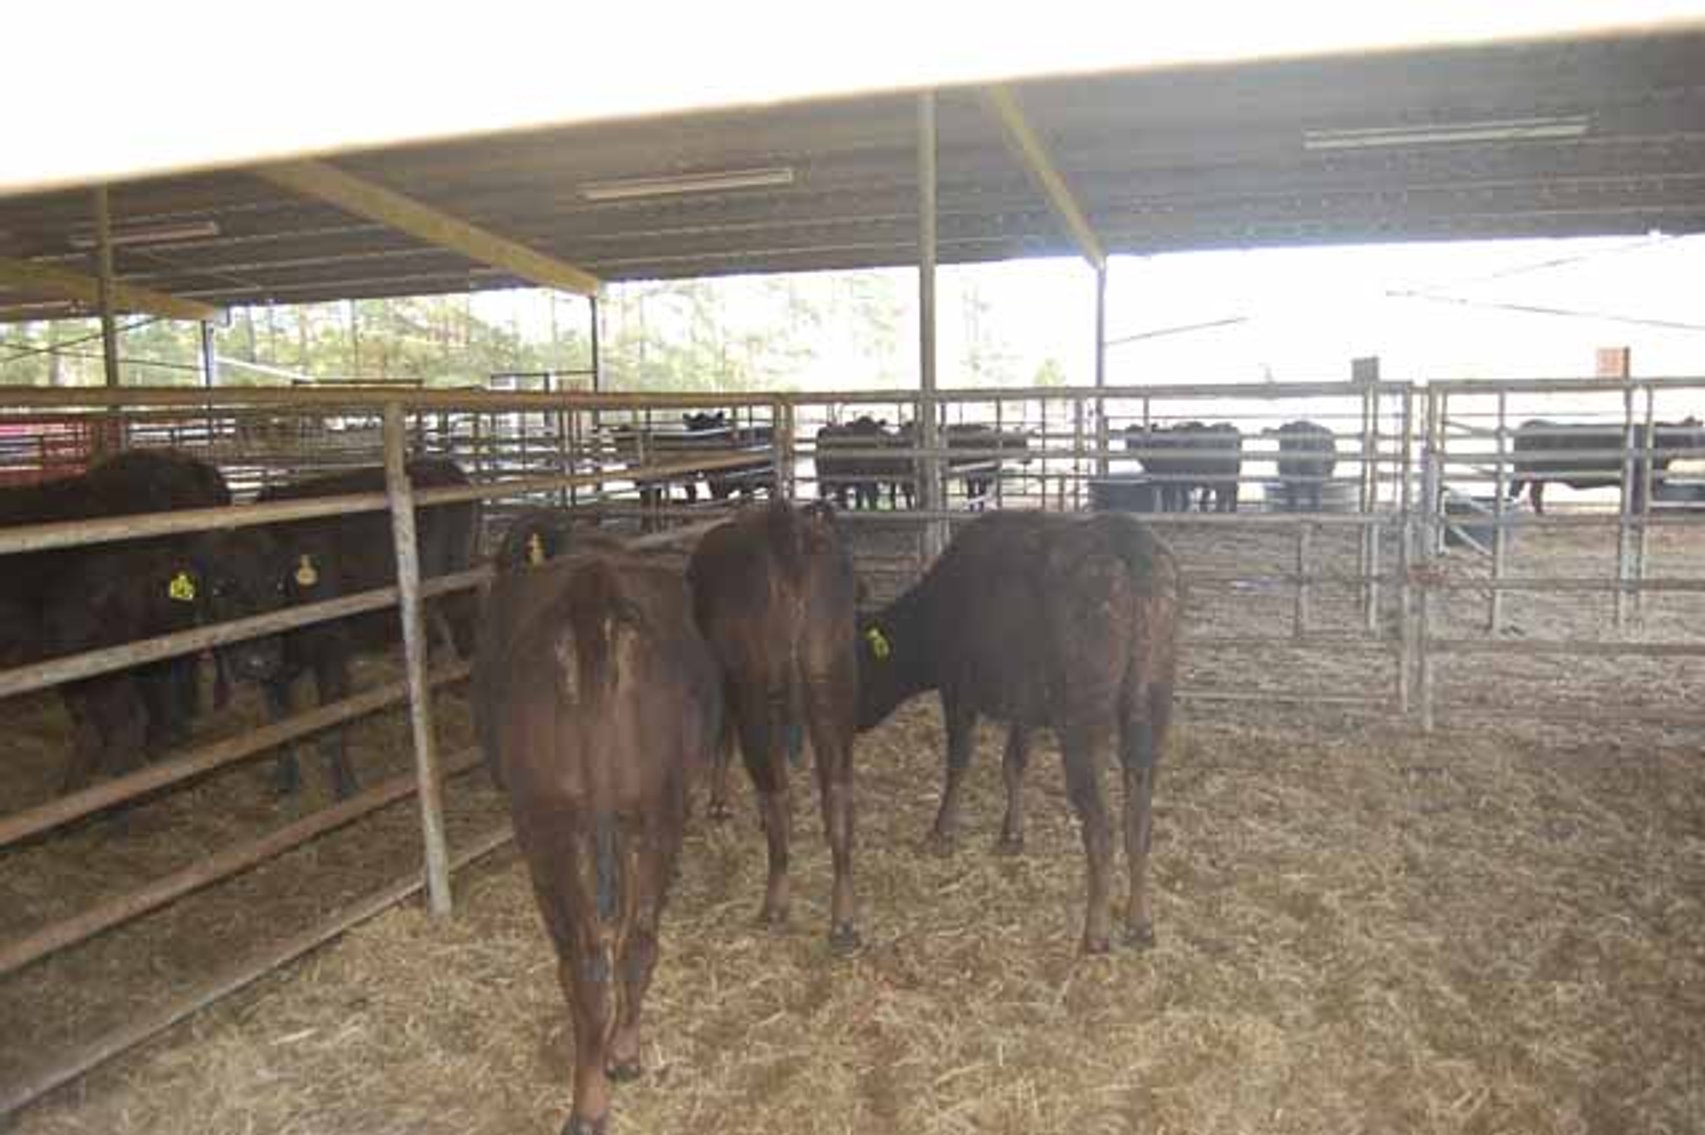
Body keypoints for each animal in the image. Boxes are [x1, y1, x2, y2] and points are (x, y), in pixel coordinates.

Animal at [219, 458, 481, 798]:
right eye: (221, 590)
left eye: (276, 583)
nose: (254, 660)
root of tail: (446, 465)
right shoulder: (273, 673)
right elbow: (280, 722)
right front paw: (286, 779)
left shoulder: (331, 648)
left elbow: (332, 719)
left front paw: (346, 787)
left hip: (457, 591)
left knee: (465, 641)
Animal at [474, 550, 721, 1135]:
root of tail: (591, 582)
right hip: (655, 812)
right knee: (637, 941)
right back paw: (625, 1053)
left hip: (555, 826)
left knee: (587, 964)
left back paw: (588, 1103)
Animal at [687, 500, 861, 952]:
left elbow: (724, 739)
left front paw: (718, 804)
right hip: (830, 680)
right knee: (837, 790)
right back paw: (844, 921)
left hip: (754, 689)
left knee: (774, 789)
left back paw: (775, 902)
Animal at [855, 510, 1181, 954]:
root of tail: (1127, 542)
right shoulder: (1024, 708)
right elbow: (1014, 764)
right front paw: (1012, 833)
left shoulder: (958, 693)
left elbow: (959, 762)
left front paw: (942, 829)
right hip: (1150, 710)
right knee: (1138, 823)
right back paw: (1140, 922)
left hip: (1082, 724)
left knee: (1102, 828)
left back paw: (1095, 931)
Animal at [1508, 417, 1704, 514]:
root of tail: (1528, 424)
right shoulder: (1638, 479)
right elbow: (1635, 501)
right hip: (1523, 470)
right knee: (1516, 490)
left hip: (1538, 476)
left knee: (1535, 494)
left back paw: (1542, 515)